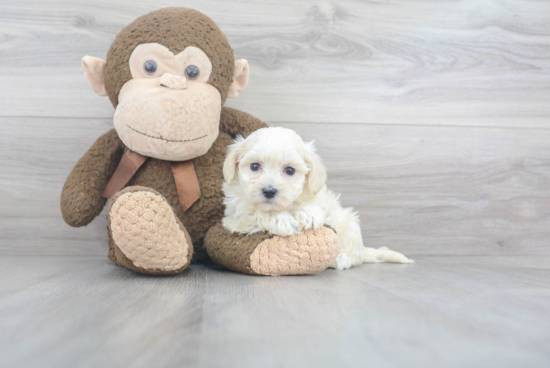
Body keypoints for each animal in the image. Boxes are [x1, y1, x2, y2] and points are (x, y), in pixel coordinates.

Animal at [221, 128, 414, 268]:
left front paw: (308, 213)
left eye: (289, 170)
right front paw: (282, 220)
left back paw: (340, 259)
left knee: (354, 256)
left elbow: (313, 206)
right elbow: (255, 212)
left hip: (349, 224)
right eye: (254, 166)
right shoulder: (235, 215)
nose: (269, 191)